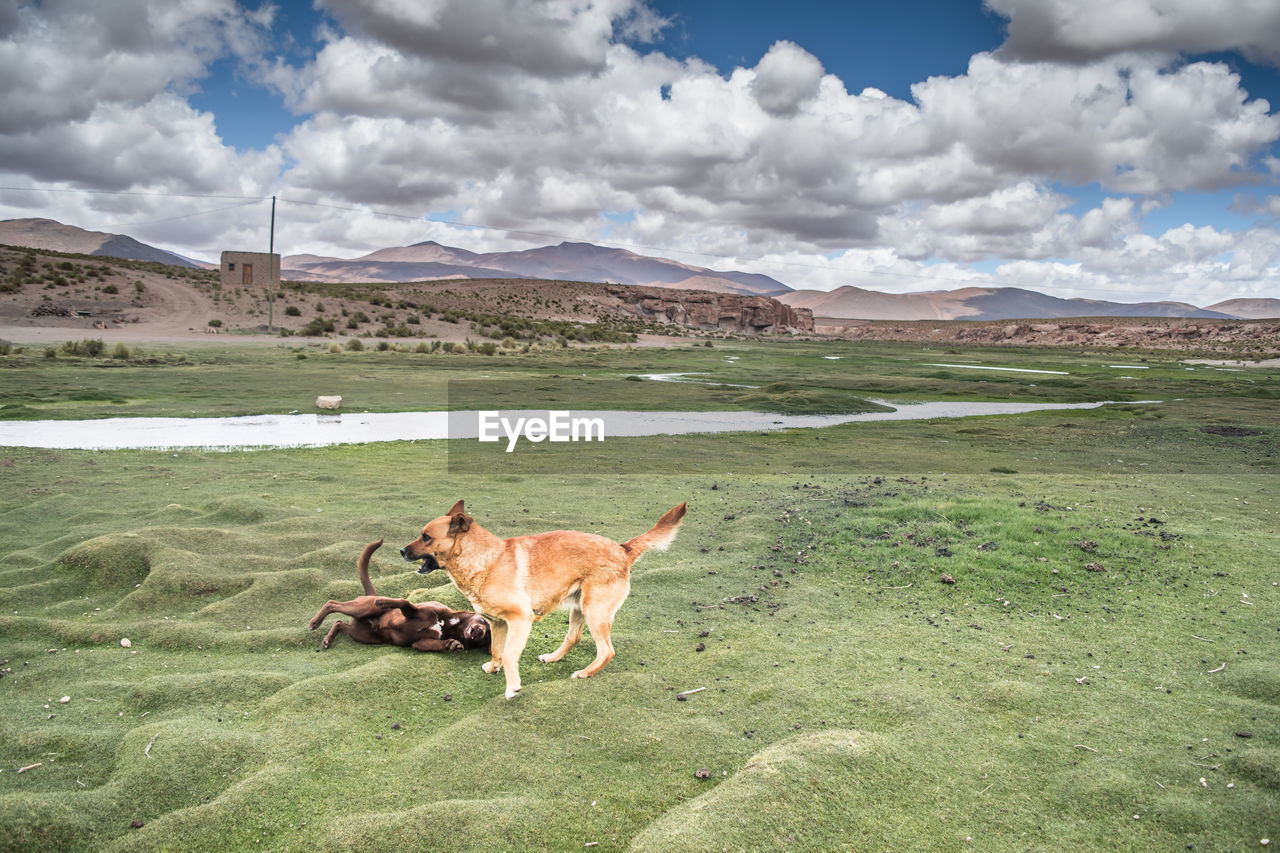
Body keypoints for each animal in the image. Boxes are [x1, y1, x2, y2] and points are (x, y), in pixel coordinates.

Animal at [308, 537, 488, 650]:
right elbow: (405, 602)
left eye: (487, 637)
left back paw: (328, 639)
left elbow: (434, 644)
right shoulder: (416, 611)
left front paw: (453, 644)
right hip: (363, 608)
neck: (448, 623)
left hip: (363, 634)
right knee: (332, 603)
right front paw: (384, 602)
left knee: (339, 622)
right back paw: (315, 622)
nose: (480, 632)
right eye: (483, 621)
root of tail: (371, 593)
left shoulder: (421, 643)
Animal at [399, 499, 686, 696]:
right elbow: (497, 650)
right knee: (573, 638)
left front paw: (512, 687)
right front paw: (493, 667)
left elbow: (510, 655)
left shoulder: (520, 620)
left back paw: (585, 673)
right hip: (579, 609)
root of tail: (622, 548)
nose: (401, 550)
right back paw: (553, 657)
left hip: (595, 611)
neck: (487, 559)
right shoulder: (497, 623)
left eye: (426, 537)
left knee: (607, 651)